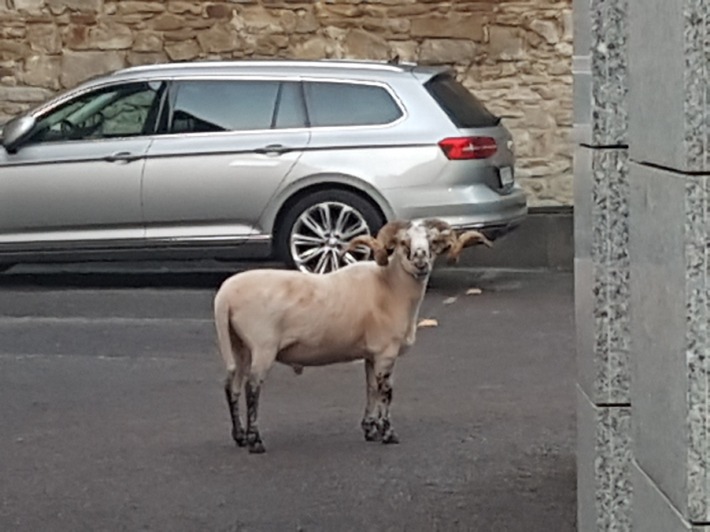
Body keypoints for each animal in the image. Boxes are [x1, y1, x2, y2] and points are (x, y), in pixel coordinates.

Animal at [211, 218, 492, 450]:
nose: (421, 263)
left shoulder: (371, 354)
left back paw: (240, 437)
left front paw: (371, 430)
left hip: (240, 345)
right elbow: (386, 391)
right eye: (404, 242)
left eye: (432, 242)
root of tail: (225, 295)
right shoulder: (386, 352)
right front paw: (389, 434)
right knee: (252, 388)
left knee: (231, 386)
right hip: (263, 346)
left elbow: (371, 389)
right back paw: (256, 441)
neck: (389, 288)